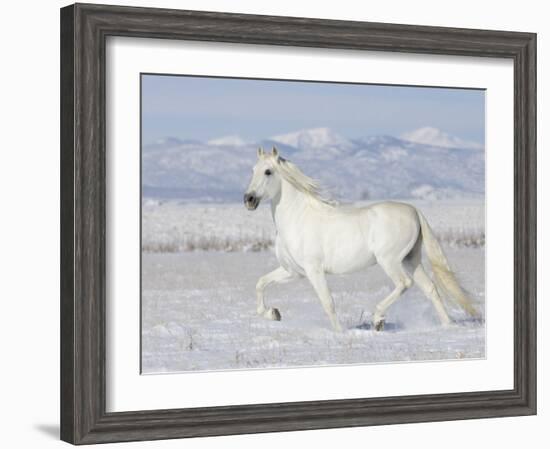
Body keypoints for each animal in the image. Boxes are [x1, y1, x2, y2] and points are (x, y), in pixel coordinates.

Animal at [244, 146, 480, 328]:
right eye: (253, 170)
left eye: (268, 172)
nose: (248, 199)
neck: (297, 218)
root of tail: (413, 210)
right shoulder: (293, 272)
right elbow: (260, 283)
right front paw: (273, 313)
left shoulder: (314, 270)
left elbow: (328, 303)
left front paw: (339, 334)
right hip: (411, 260)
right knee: (430, 288)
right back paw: (447, 325)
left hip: (390, 261)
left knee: (404, 283)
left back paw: (378, 319)